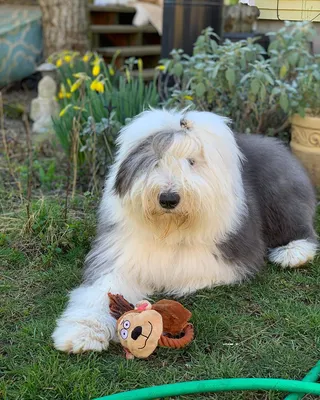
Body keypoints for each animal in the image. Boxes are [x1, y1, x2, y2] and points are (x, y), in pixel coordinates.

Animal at [52, 109, 318, 354]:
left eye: (191, 162)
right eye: (156, 159)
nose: (168, 198)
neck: (168, 227)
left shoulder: (222, 258)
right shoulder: (118, 255)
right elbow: (100, 292)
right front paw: (82, 334)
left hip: (280, 194)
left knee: (302, 229)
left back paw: (293, 253)